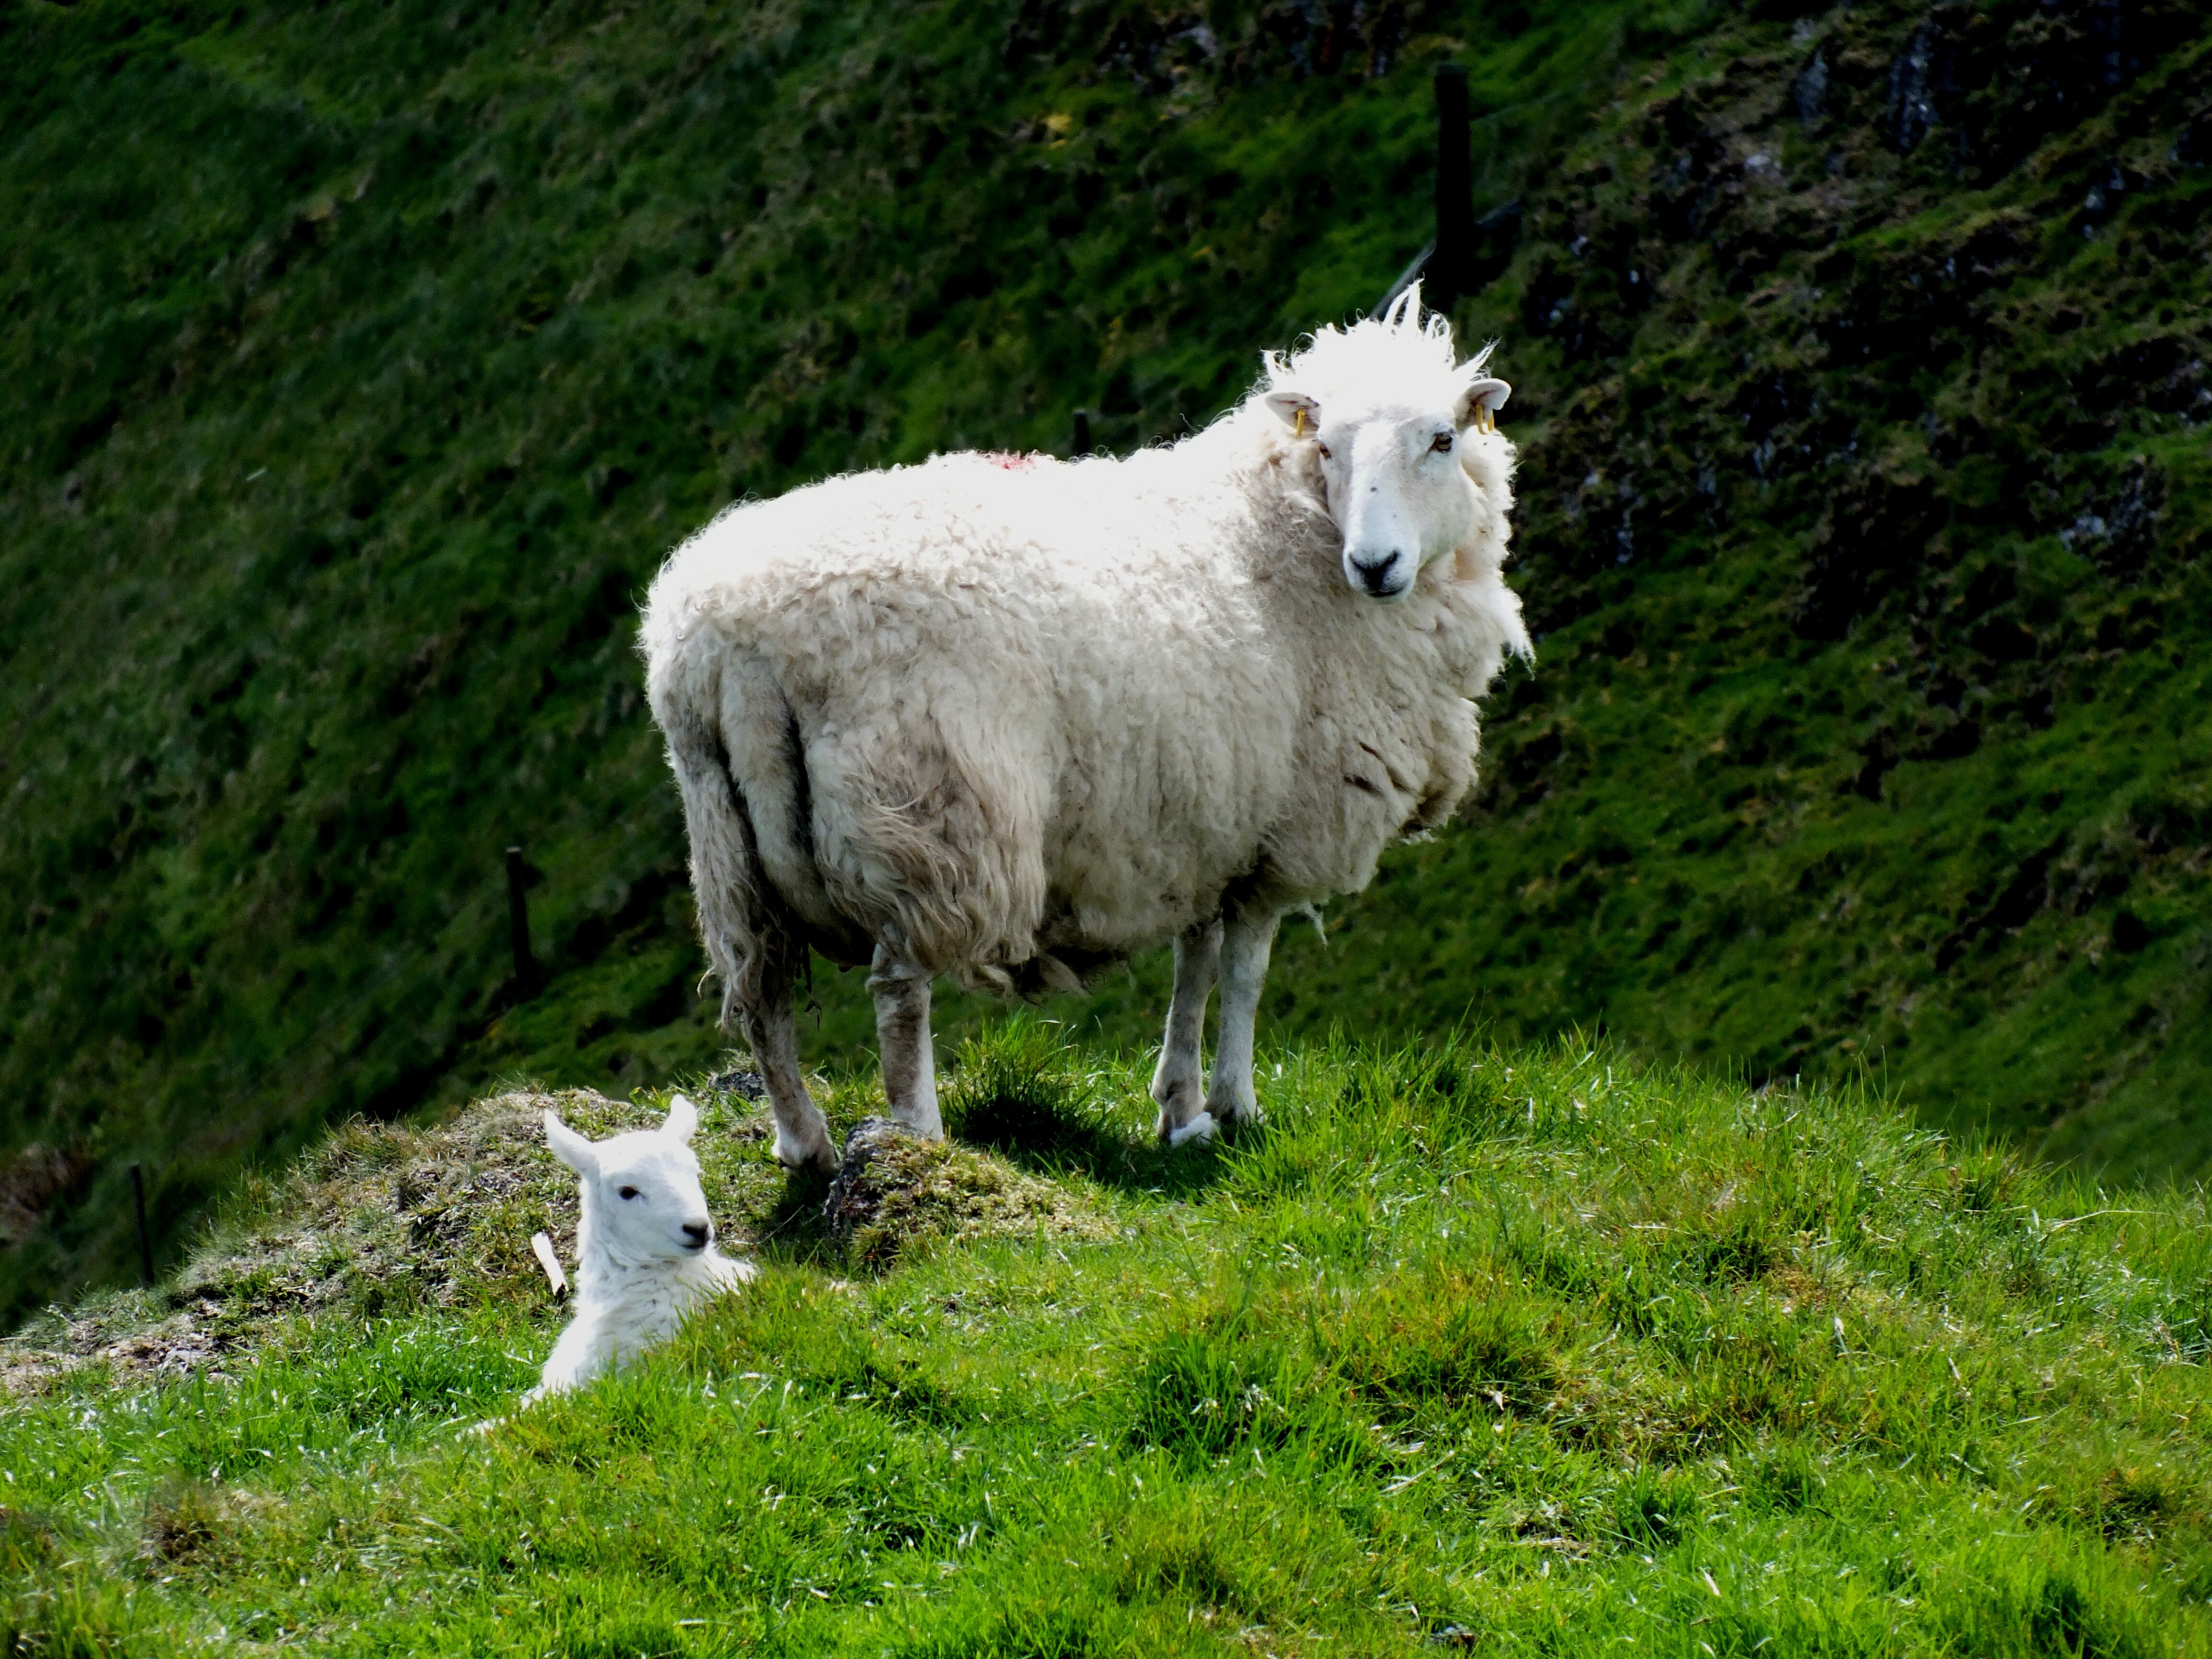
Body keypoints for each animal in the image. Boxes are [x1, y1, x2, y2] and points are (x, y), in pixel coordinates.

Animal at [646, 285, 1530, 1159]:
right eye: (1329, 450)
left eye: (1441, 440)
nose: (1374, 565)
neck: (1289, 524)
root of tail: (736, 638)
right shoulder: (1284, 830)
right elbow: (1244, 973)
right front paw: (1237, 1107)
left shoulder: (1206, 825)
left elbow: (1196, 964)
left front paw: (1182, 1110)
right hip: (925, 813)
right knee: (898, 990)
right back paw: (918, 1136)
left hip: (727, 841)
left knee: (761, 992)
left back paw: (805, 1145)